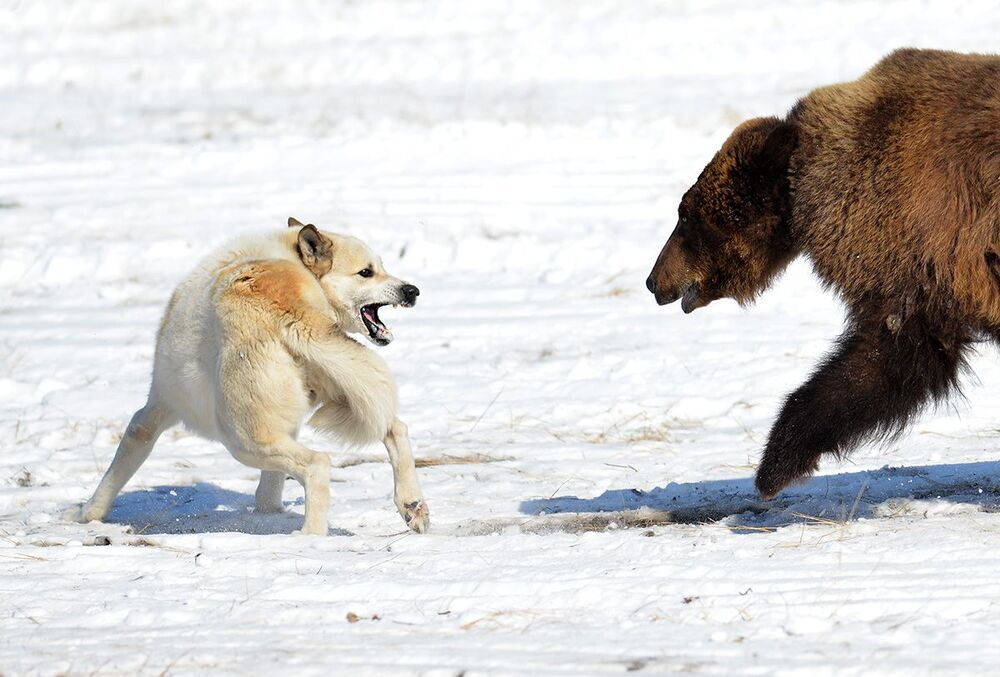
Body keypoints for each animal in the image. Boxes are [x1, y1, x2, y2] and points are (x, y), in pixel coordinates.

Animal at [645, 48, 1000, 499]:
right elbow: (890, 360)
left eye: (686, 217)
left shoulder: (920, 233)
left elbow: (888, 356)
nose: (653, 281)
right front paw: (778, 464)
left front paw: (774, 465)